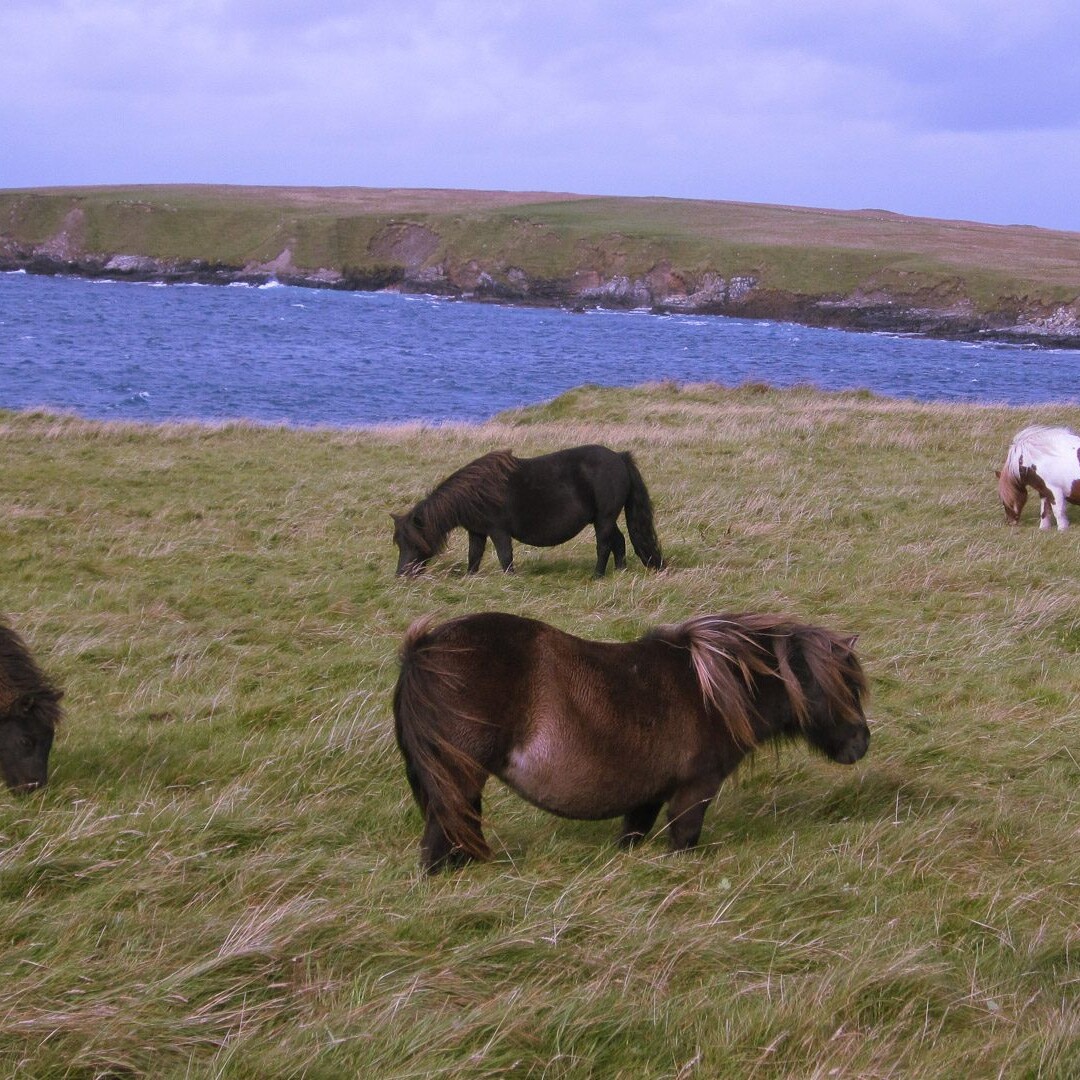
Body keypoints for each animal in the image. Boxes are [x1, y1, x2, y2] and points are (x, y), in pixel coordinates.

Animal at [391, 444, 665, 577]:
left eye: (414, 541)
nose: (402, 575)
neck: (477, 492)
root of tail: (619, 457)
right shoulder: (477, 532)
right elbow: (474, 557)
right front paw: (470, 578)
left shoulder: (498, 531)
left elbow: (505, 557)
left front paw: (510, 580)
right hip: (603, 519)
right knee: (618, 541)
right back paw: (620, 572)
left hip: (604, 519)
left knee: (604, 545)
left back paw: (597, 576)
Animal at [394, 611, 870, 872]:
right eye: (843, 688)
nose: (861, 744)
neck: (714, 691)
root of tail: (425, 648)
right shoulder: (693, 792)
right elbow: (684, 839)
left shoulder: (646, 797)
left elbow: (630, 839)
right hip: (459, 780)